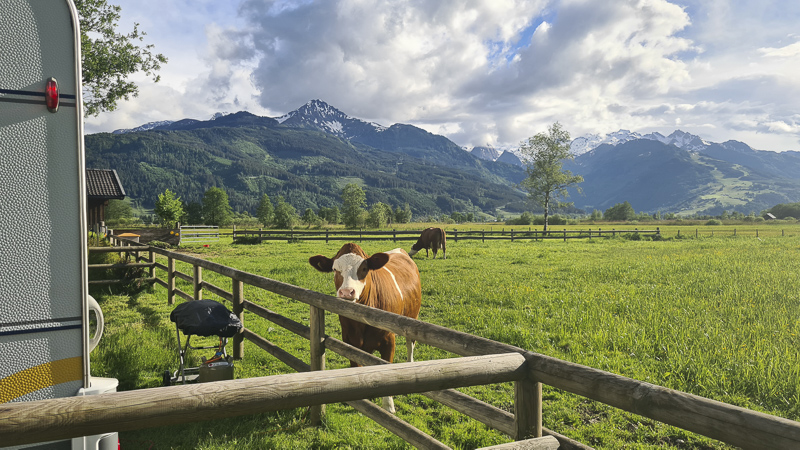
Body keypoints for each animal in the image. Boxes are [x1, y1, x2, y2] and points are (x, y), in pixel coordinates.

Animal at [306, 244, 422, 414]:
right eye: (334, 269)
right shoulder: (349, 340)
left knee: (410, 343)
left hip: (412, 316)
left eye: (364, 268)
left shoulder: (389, 341)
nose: (347, 292)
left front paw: (389, 406)